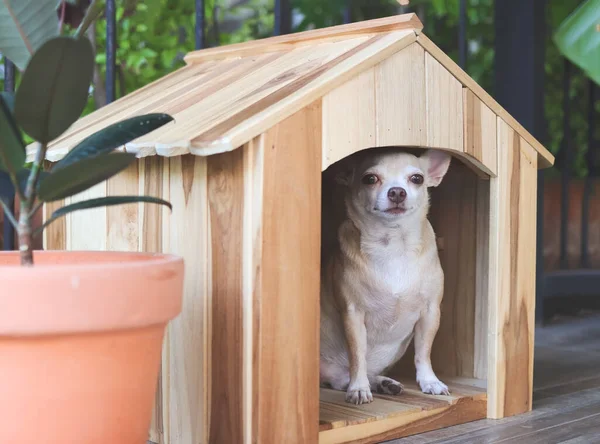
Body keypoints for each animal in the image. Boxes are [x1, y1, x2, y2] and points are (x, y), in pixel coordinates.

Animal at [318, 147, 450, 404]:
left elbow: (423, 352)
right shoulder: (353, 315)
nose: (397, 191)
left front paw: (429, 381)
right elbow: (357, 356)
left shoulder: (430, 312)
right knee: (343, 377)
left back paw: (383, 383)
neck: (393, 245)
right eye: (370, 179)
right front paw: (359, 389)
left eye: (417, 179)